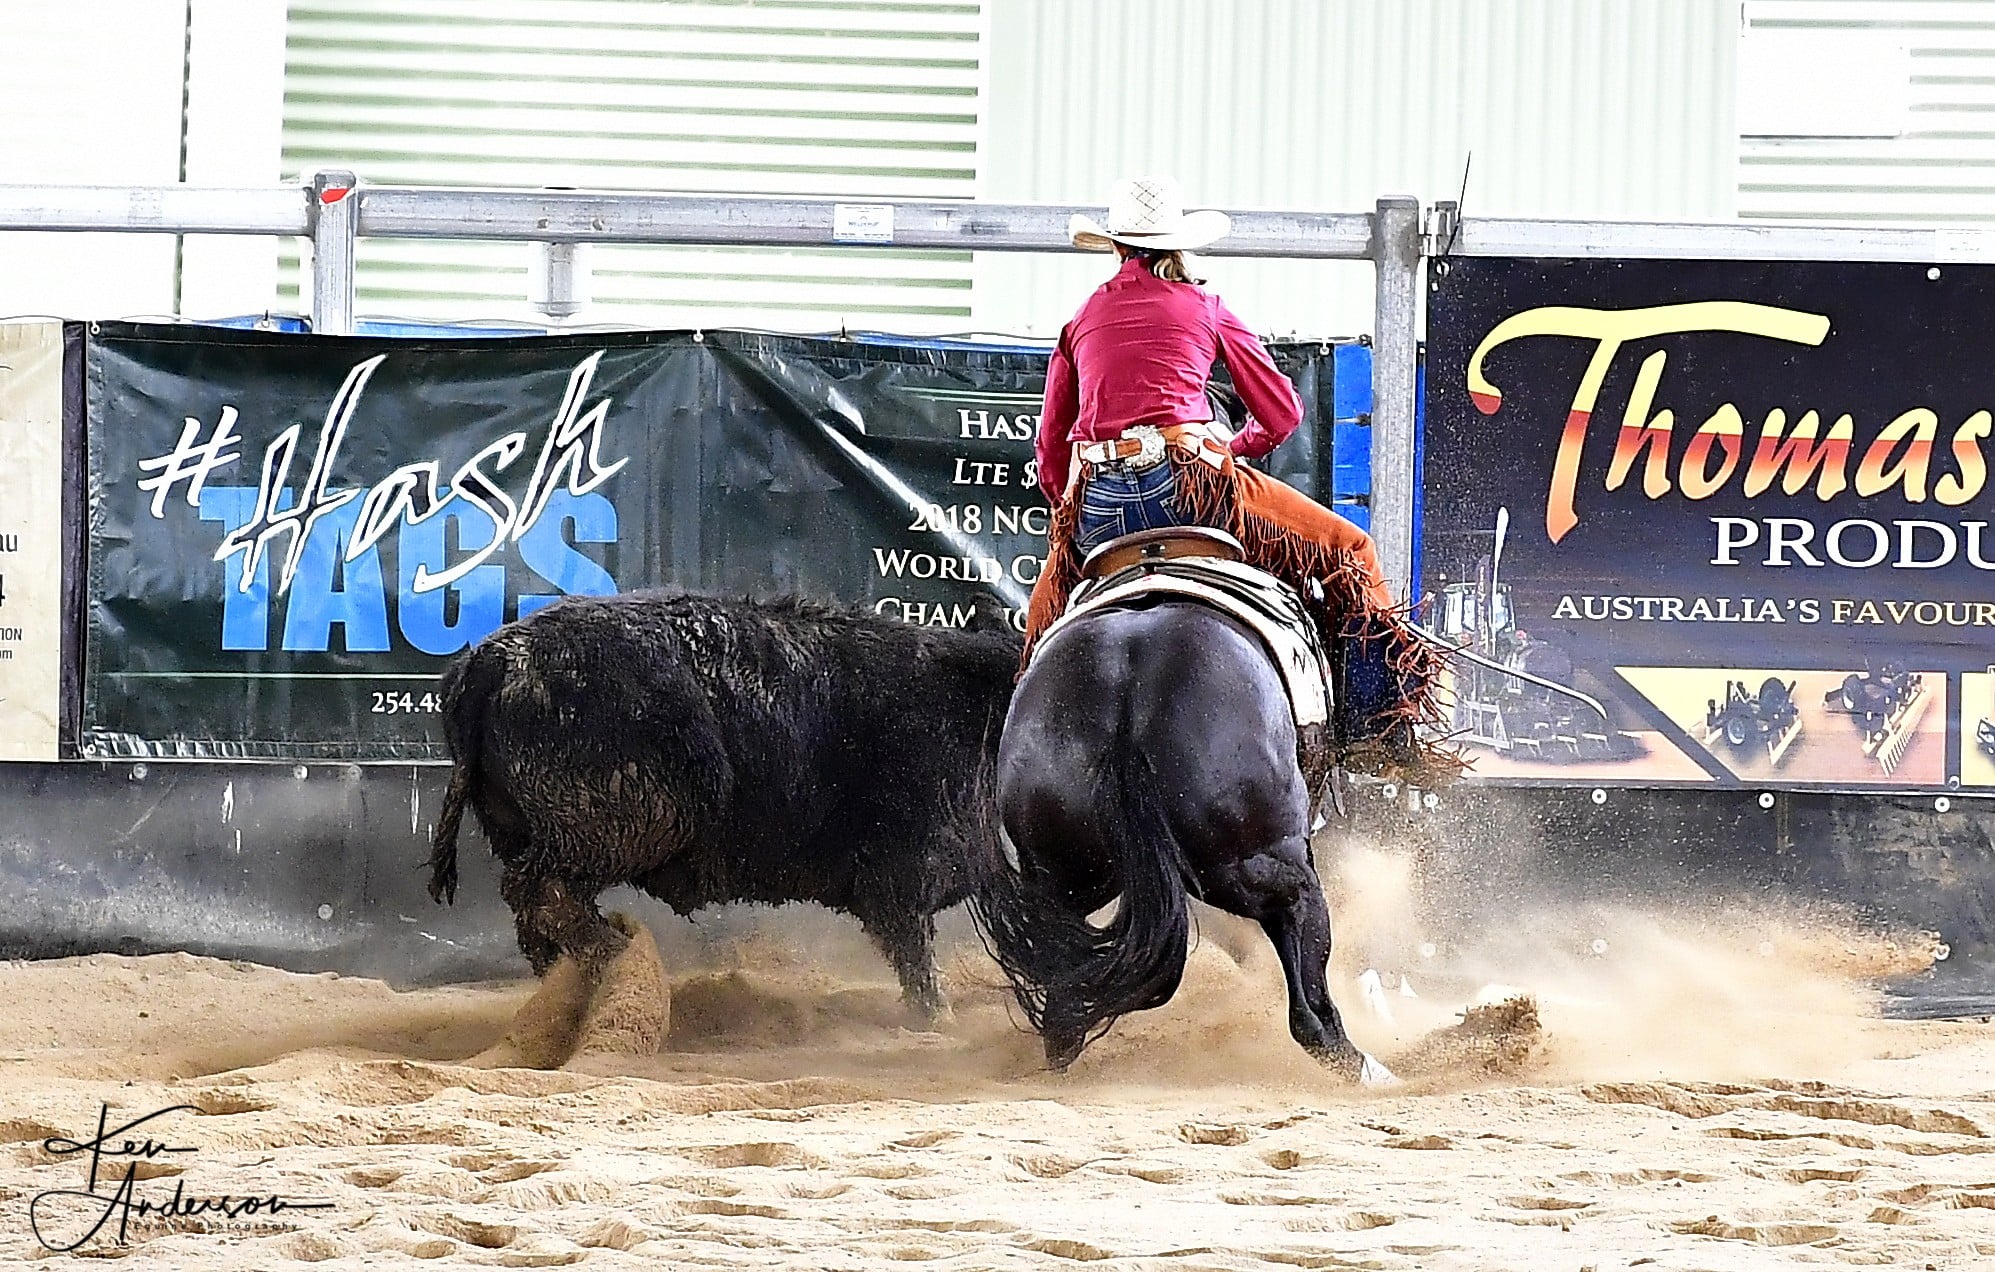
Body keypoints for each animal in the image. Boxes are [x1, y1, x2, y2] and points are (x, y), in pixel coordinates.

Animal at [425, 587, 1021, 1024]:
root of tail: (497, 657)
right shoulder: (902, 875)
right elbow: (915, 954)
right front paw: (937, 1017)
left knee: (539, 913)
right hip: (619, 828)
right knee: (543, 893)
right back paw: (618, 960)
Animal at [967, 538, 1399, 1085]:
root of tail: (1126, 683)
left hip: (1065, 872)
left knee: (1064, 993)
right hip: (1265, 868)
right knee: (1308, 1002)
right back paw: (1367, 1066)